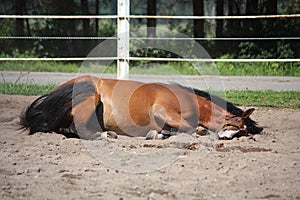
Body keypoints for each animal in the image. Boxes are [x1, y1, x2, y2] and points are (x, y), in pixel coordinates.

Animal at [19, 76, 262, 140]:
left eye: (244, 132)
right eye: (237, 123)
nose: (227, 138)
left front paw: (162, 133)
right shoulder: (162, 111)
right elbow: (194, 129)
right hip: (91, 97)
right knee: (77, 129)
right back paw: (104, 135)